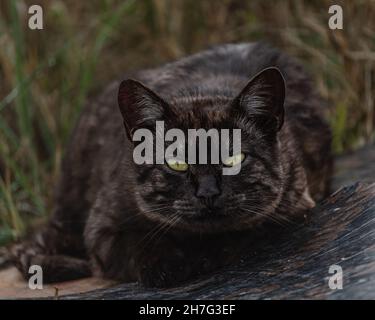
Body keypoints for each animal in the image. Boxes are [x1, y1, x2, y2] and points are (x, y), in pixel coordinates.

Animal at [9, 43, 332, 288]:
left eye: (234, 159)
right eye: (177, 162)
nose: (208, 193)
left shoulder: (295, 208)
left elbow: (243, 234)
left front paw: (204, 255)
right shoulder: (102, 229)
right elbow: (140, 244)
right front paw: (168, 264)